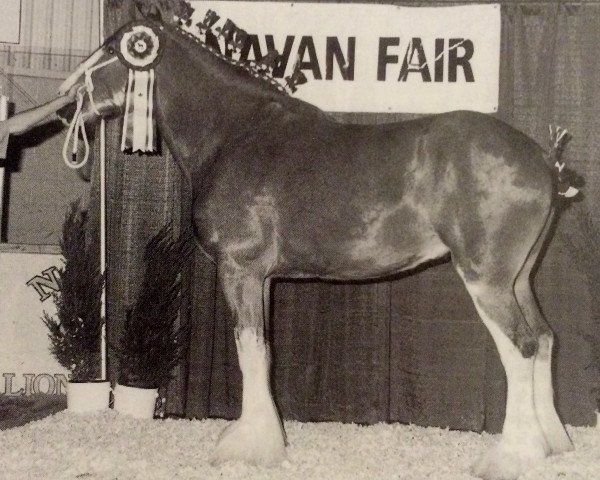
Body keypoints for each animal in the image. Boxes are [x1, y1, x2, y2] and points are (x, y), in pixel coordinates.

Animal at [57, 13, 576, 478]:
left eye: (111, 48)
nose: (65, 103)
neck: (233, 134)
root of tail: (543, 160)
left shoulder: (240, 269)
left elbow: (248, 351)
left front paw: (249, 448)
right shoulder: (264, 279)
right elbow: (264, 352)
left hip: (486, 278)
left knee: (522, 347)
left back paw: (510, 459)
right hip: (520, 279)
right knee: (545, 338)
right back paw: (551, 445)